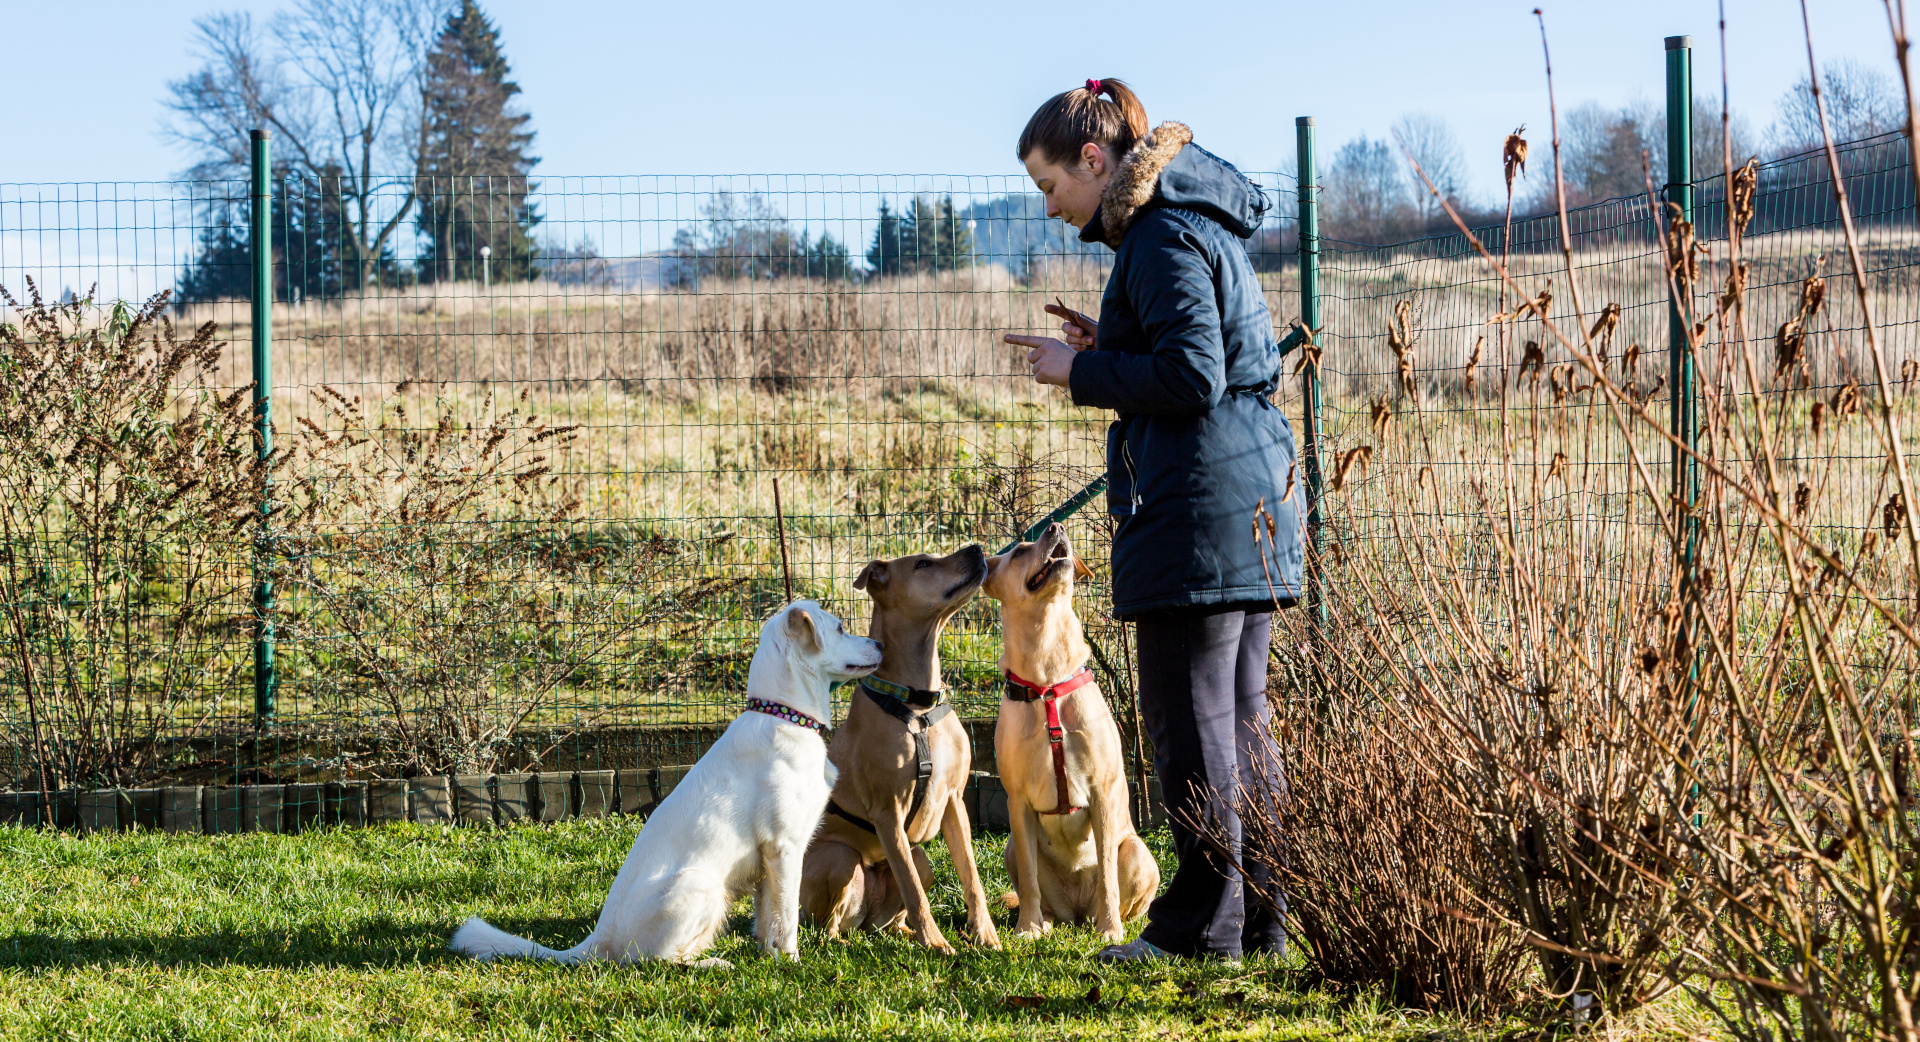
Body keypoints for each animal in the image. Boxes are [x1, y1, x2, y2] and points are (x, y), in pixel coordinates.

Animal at [449, 602, 879, 970]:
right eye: (840, 627)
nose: (879, 643)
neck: (785, 715)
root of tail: (596, 942)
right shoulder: (784, 847)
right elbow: (786, 918)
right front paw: (791, 963)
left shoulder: (766, 862)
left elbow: (767, 919)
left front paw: (769, 957)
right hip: (701, 885)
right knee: (653, 960)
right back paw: (711, 962)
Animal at [798, 544, 1006, 955]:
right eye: (923, 564)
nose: (976, 548)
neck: (917, 704)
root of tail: (862, 920)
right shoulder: (888, 811)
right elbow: (912, 888)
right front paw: (937, 943)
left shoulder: (955, 801)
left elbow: (971, 877)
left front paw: (984, 933)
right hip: (839, 859)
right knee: (826, 929)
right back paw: (844, 941)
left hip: (921, 858)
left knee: (890, 918)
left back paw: (905, 934)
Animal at [990, 525, 1152, 940]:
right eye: (1019, 552)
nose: (1056, 527)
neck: (1047, 676)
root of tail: (1076, 912)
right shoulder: (1018, 803)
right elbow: (1030, 878)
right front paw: (1027, 927)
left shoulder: (1103, 792)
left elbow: (1108, 876)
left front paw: (1111, 930)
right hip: (1011, 846)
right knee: (1034, 887)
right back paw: (1044, 920)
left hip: (1138, 853)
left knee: (1125, 898)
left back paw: (1108, 921)